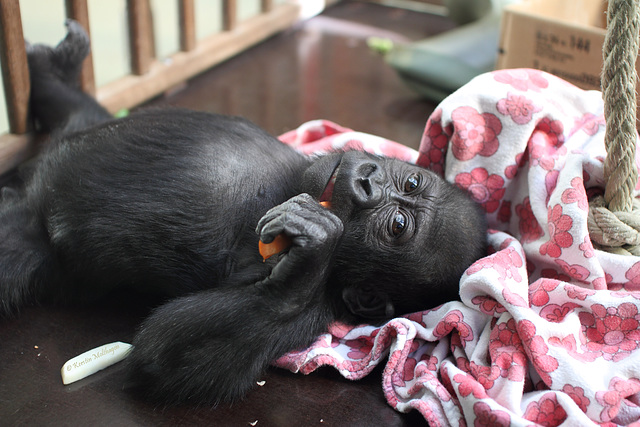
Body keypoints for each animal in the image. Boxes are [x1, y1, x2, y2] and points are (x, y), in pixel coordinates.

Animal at [0, 21, 484, 406]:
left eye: (398, 226)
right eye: (411, 183)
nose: (366, 180)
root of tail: (26, 189)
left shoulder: (317, 312)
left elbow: (167, 358)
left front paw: (311, 250)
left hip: (28, 242)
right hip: (73, 132)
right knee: (80, 115)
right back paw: (54, 71)